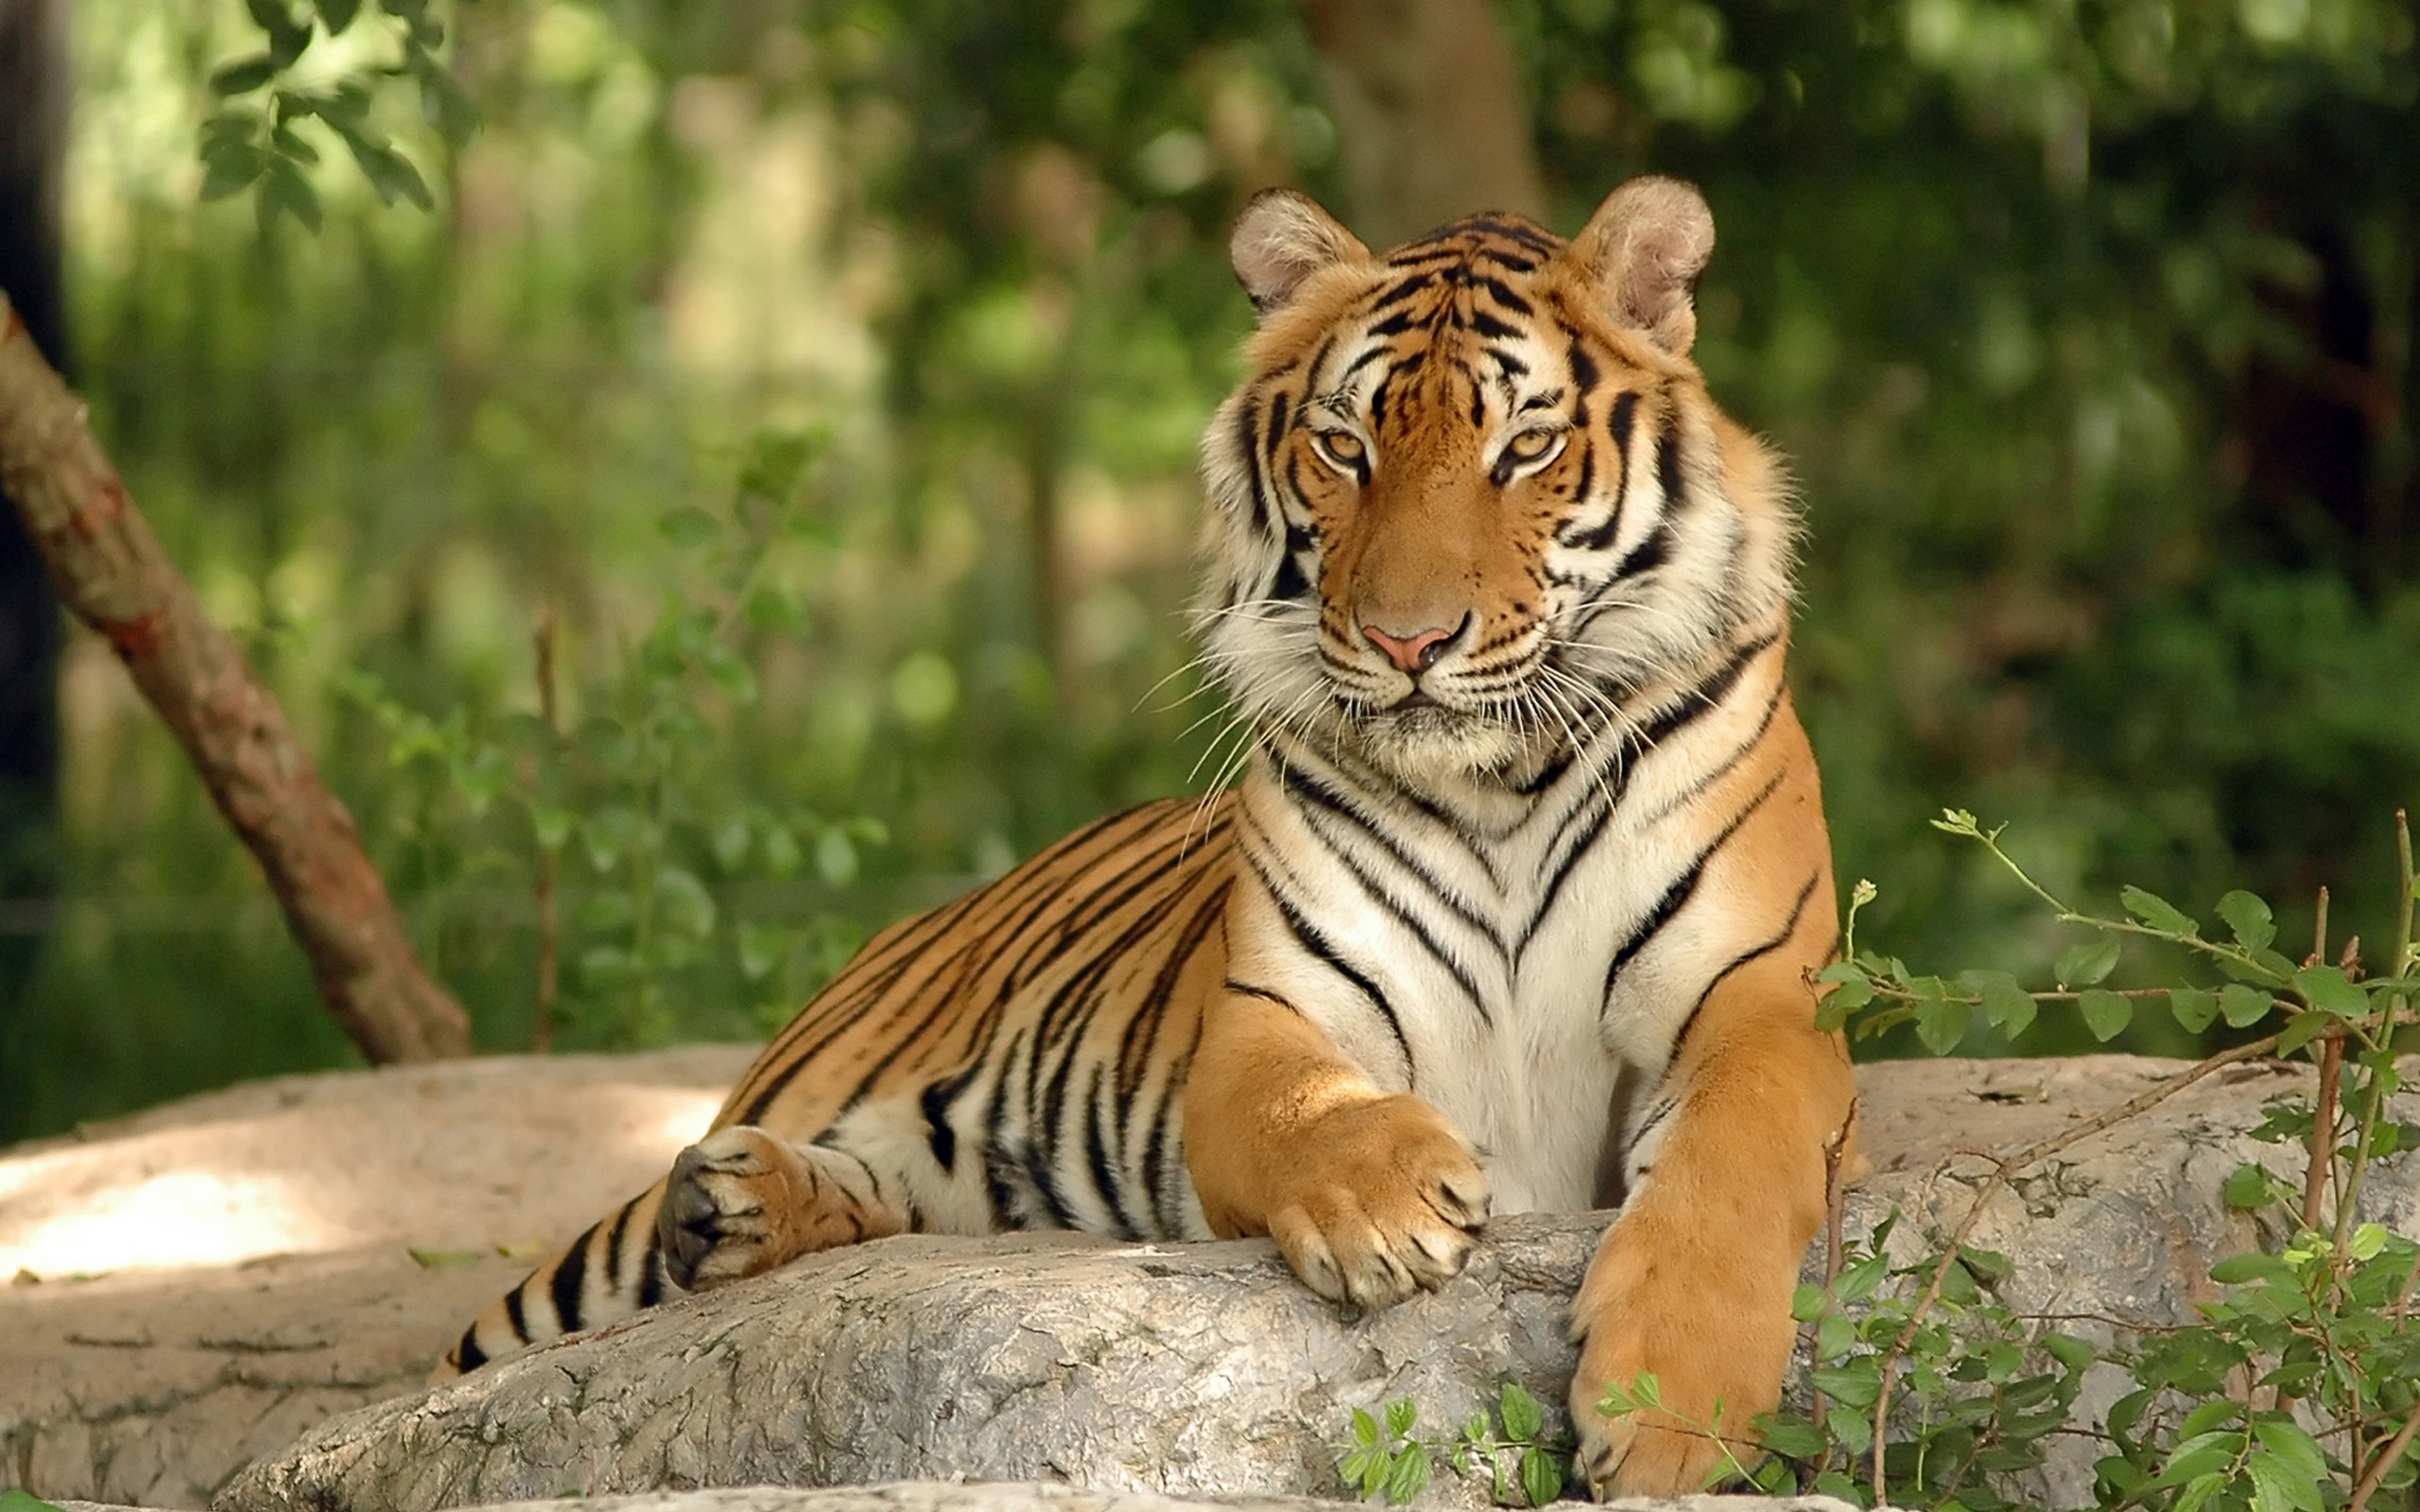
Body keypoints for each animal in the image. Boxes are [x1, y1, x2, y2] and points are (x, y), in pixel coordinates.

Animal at [436, 176, 1858, 1498]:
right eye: (1344, 447)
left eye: (1525, 445)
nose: (1407, 641)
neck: (1496, 787)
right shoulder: (1272, 1015)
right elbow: (1300, 1109)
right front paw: (1390, 1203)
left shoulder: (1762, 1000)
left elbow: (1730, 1165)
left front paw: (1672, 1417)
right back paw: (714, 1203)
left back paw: (729, 1211)